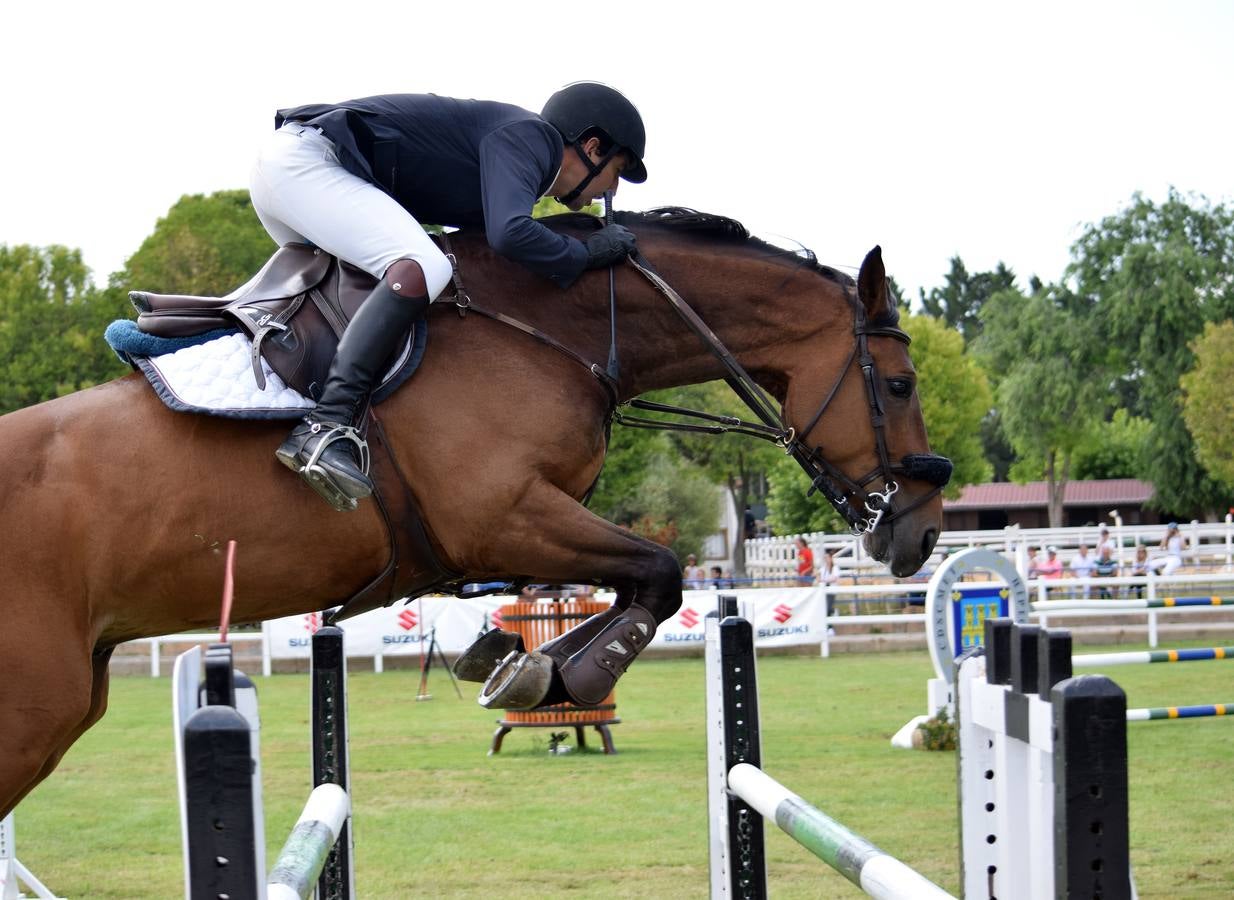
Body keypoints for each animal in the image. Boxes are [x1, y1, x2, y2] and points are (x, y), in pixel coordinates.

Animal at [0, 208, 942, 814]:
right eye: (900, 385)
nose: (922, 530)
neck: (545, 326)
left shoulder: (510, 537)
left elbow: (616, 590)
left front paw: (526, 665)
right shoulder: (504, 516)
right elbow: (662, 571)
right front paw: (566, 677)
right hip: (34, 709)